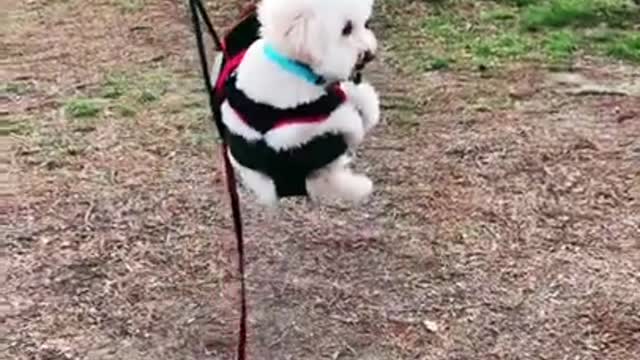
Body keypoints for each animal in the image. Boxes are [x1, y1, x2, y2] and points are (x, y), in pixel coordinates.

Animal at [220, 0, 380, 207]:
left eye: (365, 24)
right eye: (346, 29)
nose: (369, 54)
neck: (291, 61)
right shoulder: (323, 113)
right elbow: (355, 105)